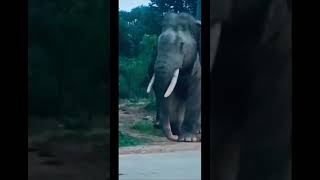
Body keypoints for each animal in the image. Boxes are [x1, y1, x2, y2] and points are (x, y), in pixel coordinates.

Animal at [147, 12, 201, 142]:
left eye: (181, 45)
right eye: (157, 46)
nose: (174, 137)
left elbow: (196, 92)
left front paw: (188, 139)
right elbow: (173, 94)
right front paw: (179, 134)